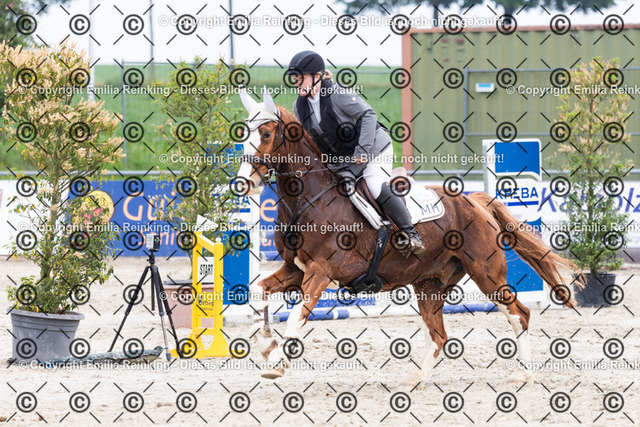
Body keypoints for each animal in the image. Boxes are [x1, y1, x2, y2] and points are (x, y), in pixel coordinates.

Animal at [236, 87, 582, 392]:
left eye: (265, 134)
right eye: (242, 135)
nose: (242, 184)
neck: (309, 198)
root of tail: (475, 202)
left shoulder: (322, 271)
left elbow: (296, 317)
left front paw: (277, 362)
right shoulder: (296, 269)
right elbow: (258, 292)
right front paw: (266, 345)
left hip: (487, 273)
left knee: (519, 314)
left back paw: (522, 375)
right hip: (429, 282)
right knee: (439, 334)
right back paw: (414, 380)